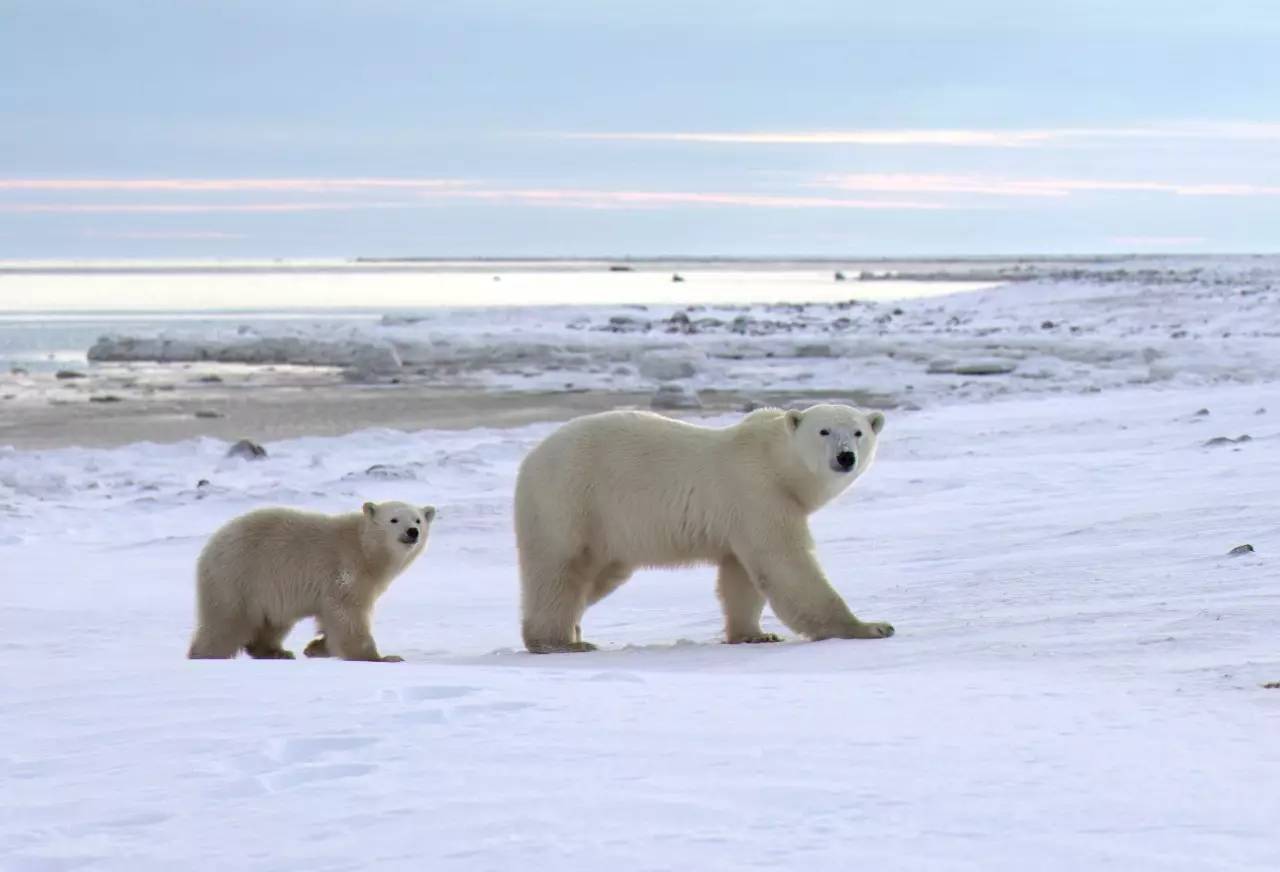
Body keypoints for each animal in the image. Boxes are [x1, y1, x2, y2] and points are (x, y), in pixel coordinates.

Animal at [514, 404, 896, 650]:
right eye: (824, 430)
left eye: (859, 432)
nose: (845, 456)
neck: (776, 463)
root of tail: (530, 459)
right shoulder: (758, 494)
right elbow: (786, 564)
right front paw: (871, 627)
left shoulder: (742, 517)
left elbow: (741, 575)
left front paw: (755, 634)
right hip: (572, 501)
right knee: (561, 571)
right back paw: (557, 641)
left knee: (597, 577)